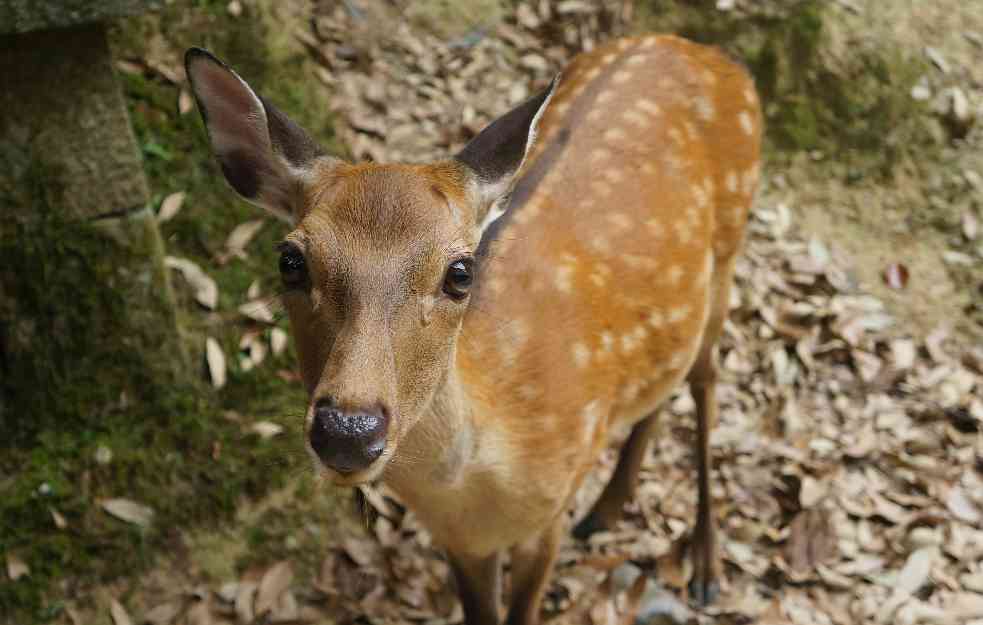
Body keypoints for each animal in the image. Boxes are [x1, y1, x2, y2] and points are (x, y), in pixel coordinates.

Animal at [188, 33, 764, 624]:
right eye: (290, 261)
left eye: (460, 273)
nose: (347, 431)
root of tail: (710, 53)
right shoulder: (461, 541)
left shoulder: (549, 513)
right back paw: (607, 508)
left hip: (728, 254)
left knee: (706, 378)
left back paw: (706, 566)